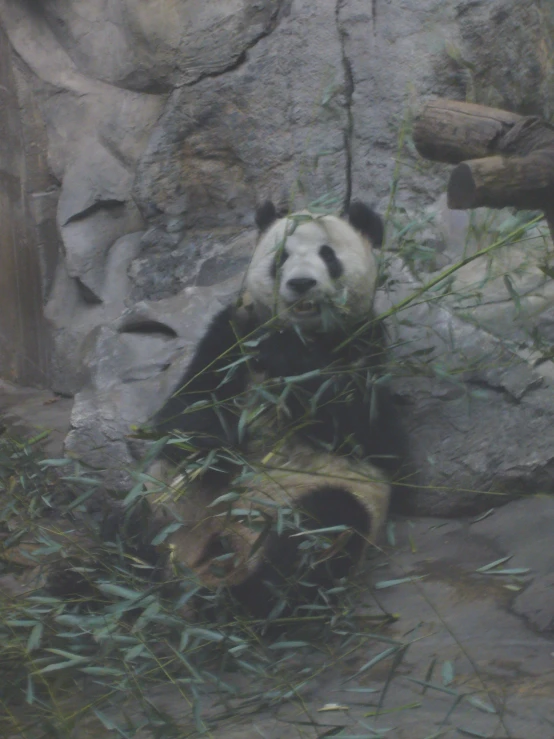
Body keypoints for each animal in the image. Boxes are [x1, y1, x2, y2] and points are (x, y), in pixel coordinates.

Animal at [144, 199, 408, 620]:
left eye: (328, 255)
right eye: (282, 256)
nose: (301, 284)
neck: (304, 332)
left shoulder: (365, 347)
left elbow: (377, 439)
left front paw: (288, 358)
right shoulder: (232, 334)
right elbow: (187, 409)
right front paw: (213, 447)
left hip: (317, 500)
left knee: (321, 532)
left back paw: (243, 603)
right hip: (165, 508)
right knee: (124, 526)